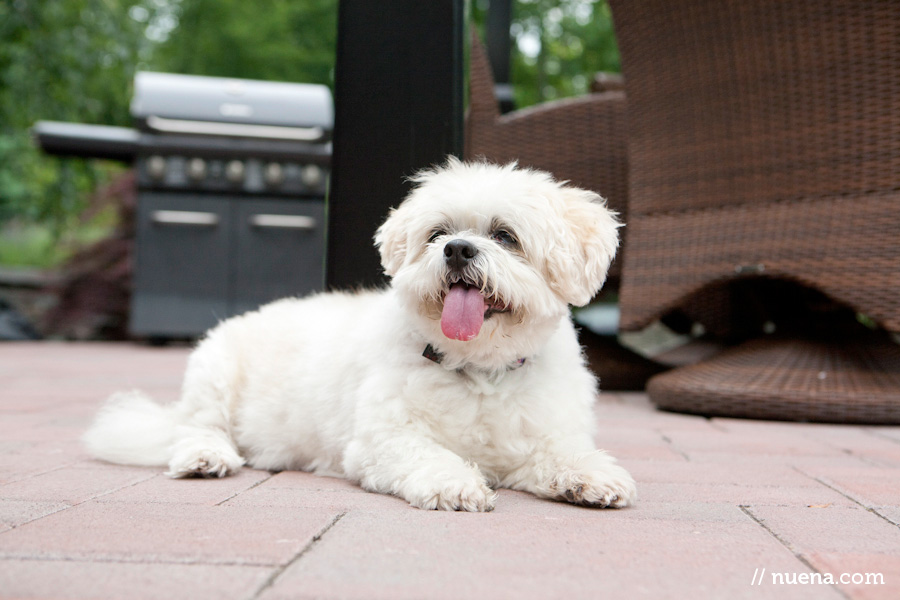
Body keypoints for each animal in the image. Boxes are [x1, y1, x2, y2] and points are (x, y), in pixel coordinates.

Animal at [82, 158, 632, 510]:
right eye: (436, 233)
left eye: (504, 236)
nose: (456, 249)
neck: (479, 370)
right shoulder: (381, 441)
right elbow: (428, 455)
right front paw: (454, 482)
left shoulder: (544, 437)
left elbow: (561, 454)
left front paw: (591, 474)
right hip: (214, 371)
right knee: (199, 426)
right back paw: (207, 456)